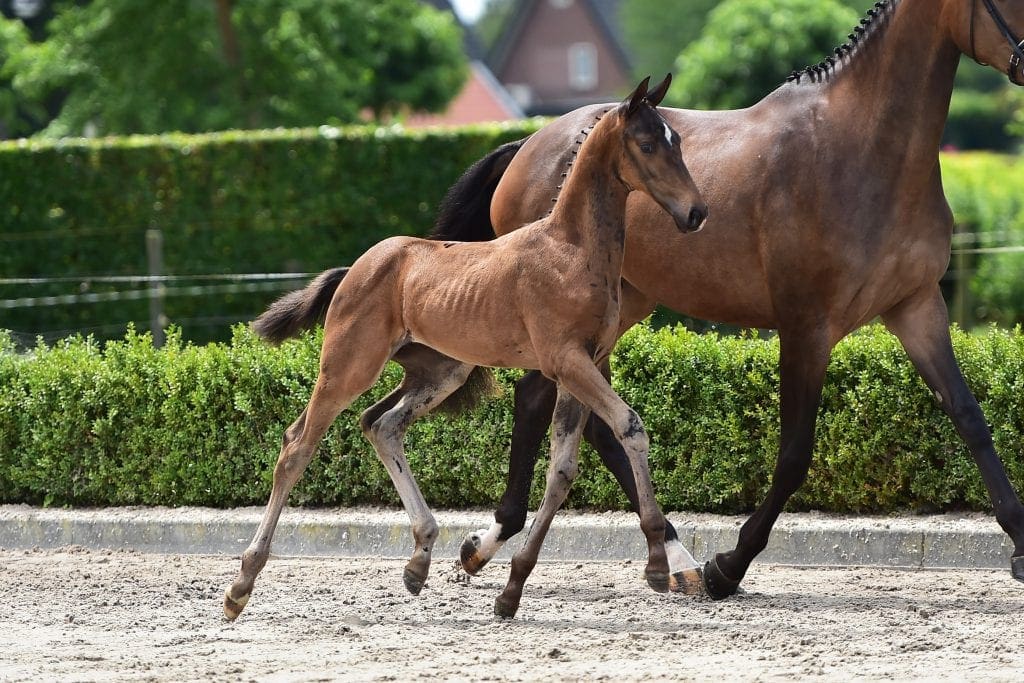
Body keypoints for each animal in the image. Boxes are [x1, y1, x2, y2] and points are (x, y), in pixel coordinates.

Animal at [222, 75, 708, 621]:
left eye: (677, 141)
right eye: (646, 144)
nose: (696, 213)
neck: (571, 248)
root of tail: (355, 268)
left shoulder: (583, 365)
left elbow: (562, 469)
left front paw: (512, 588)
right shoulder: (566, 360)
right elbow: (629, 427)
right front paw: (658, 562)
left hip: (439, 372)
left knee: (382, 425)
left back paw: (419, 561)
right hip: (348, 365)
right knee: (297, 444)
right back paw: (241, 586)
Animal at [432, 0, 1024, 599]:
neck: (861, 148)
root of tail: (526, 146)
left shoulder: (917, 307)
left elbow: (970, 417)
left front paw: (1020, 546)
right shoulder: (806, 326)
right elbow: (794, 454)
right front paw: (728, 566)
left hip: (619, 306)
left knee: (568, 408)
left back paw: (655, 553)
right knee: (544, 401)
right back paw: (511, 544)